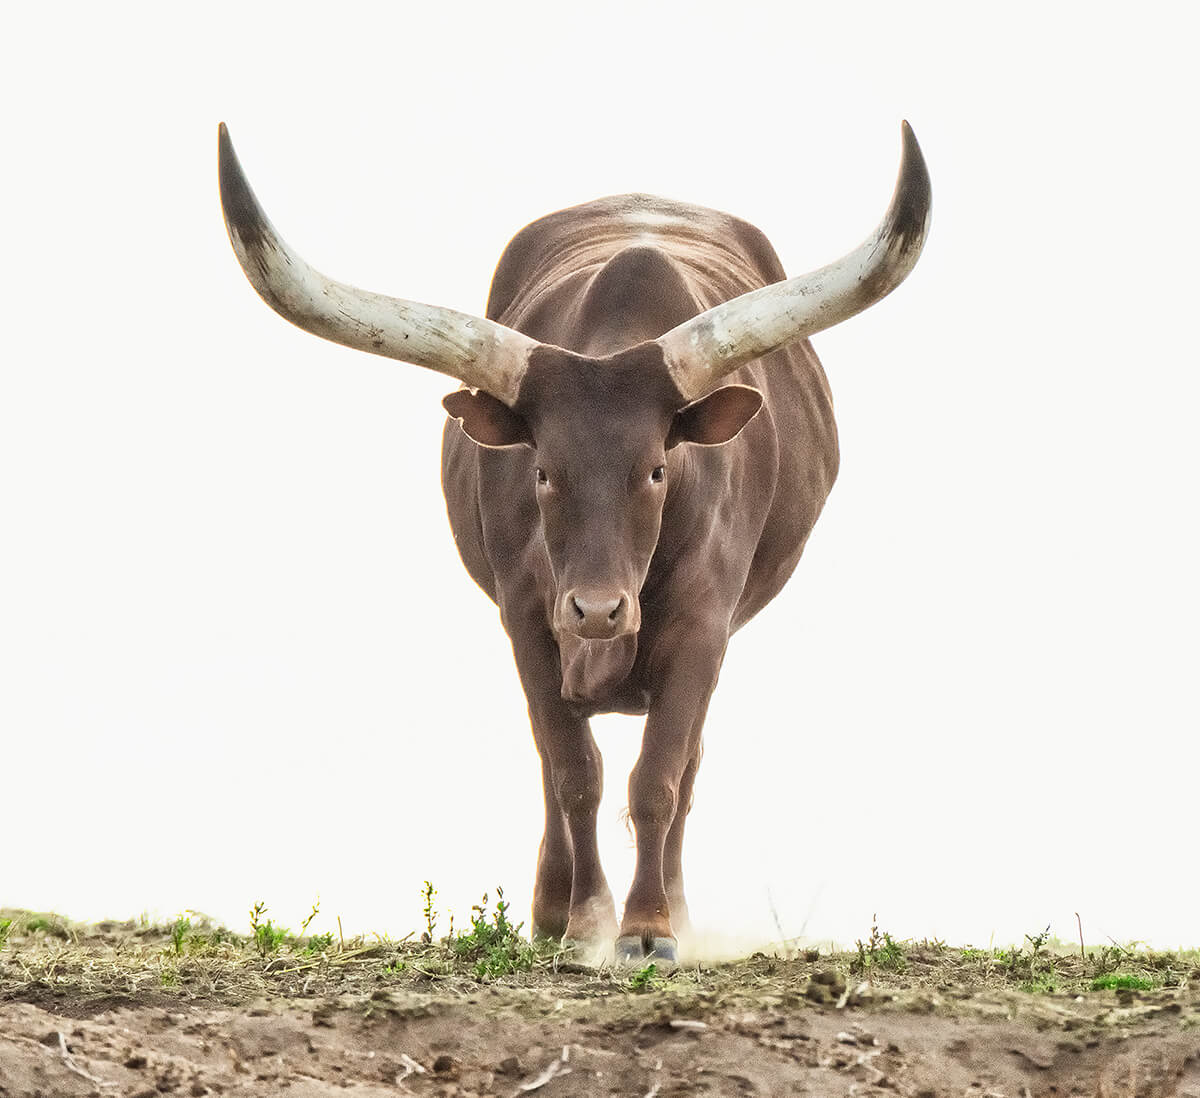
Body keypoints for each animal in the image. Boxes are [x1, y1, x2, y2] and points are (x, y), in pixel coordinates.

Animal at [218, 120, 926, 960]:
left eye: (657, 469)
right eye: (544, 471)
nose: (596, 611)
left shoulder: (703, 626)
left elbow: (660, 778)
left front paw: (650, 927)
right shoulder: (529, 619)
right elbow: (572, 772)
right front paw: (583, 919)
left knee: (685, 769)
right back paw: (551, 909)